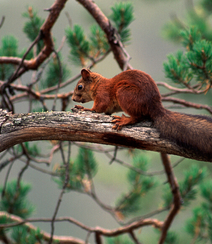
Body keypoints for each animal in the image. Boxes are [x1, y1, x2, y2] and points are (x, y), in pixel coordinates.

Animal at [72, 68, 212, 162]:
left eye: (80, 87)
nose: (73, 99)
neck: (98, 85)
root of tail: (155, 107)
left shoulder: (103, 95)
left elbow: (97, 108)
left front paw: (84, 108)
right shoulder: (110, 107)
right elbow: (106, 111)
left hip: (124, 93)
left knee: (137, 117)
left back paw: (124, 120)